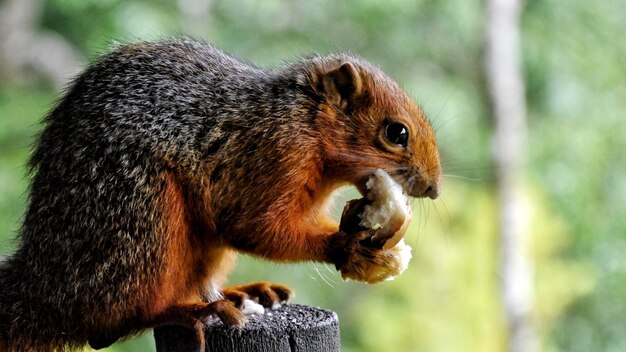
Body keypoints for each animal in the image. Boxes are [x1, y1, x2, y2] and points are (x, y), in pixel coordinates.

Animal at [0, 40, 438, 350]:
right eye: (396, 132)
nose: (433, 188)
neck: (304, 124)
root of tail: (44, 284)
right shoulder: (268, 157)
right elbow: (254, 226)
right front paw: (346, 246)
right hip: (140, 217)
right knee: (110, 323)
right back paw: (185, 312)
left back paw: (239, 293)